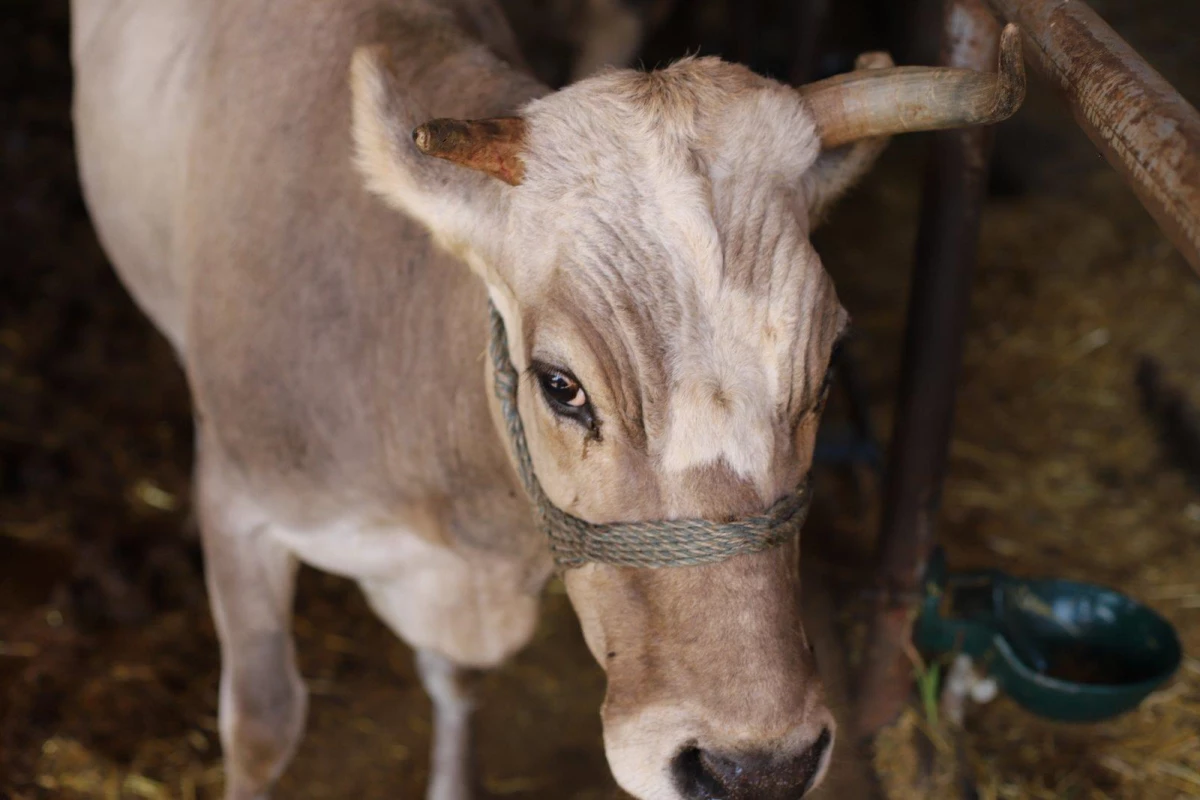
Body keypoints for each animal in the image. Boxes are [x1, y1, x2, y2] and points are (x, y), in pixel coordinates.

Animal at [65, 3, 1022, 796]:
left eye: (826, 370)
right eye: (561, 386)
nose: (759, 768)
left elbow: (456, 680)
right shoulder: (242, 505)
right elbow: (263, 727)